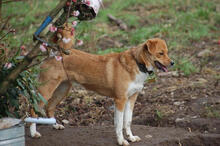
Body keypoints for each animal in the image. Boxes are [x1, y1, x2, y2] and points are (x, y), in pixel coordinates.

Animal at [29, 24, 174, 145]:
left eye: (167, 52)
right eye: (160, 53)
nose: (172, 63)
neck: (138, 63)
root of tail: (54, 53)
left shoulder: (131, 99)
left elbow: (127, 121)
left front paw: (131, 137)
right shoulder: (120, 100)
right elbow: (119, 124)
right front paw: (121, 141)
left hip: (62, 90)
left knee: (49, 107)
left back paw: (55, 125)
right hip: (46, 90)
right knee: (33, 109)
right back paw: (34, 133)